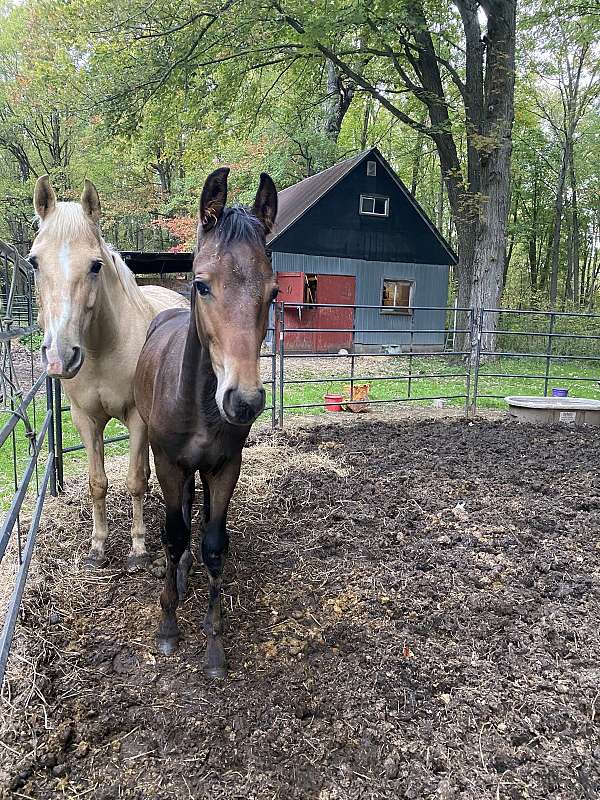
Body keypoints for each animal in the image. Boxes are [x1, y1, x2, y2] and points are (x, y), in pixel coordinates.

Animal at [29, 179, 188, 572]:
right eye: (34, 261)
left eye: (95, 265)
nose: (60, 356)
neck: (104, 347)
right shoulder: (84, 419)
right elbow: (97, 483)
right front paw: (98, 547)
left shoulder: (137, 418)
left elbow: (135, 481)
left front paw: (138, 549)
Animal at [135, 167, 278, 676]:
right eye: (202, 284)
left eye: (274, 292)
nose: (245, 400)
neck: (198, 402)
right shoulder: (168, 462)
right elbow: (174, 533)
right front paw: (168, 625)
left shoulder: (224, 466)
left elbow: (214, 543)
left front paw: (214, 642)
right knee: (178, 517)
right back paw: (177, 575)